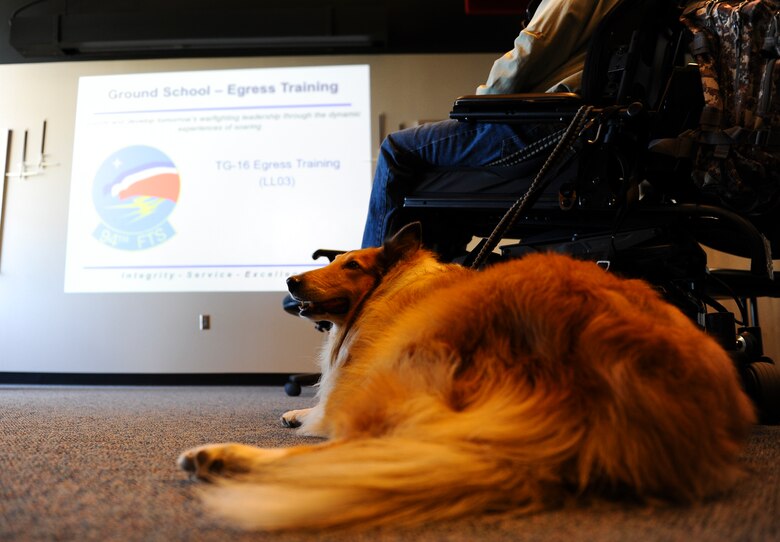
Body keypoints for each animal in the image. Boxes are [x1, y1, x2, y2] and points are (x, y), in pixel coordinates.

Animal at [178, 223, 756, 532]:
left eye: (352, 266)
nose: (292, 280)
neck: (389, 287)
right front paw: (296, 408)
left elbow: (328, 415)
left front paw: (302, 415)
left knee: (354, 452)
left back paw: (217, 457)